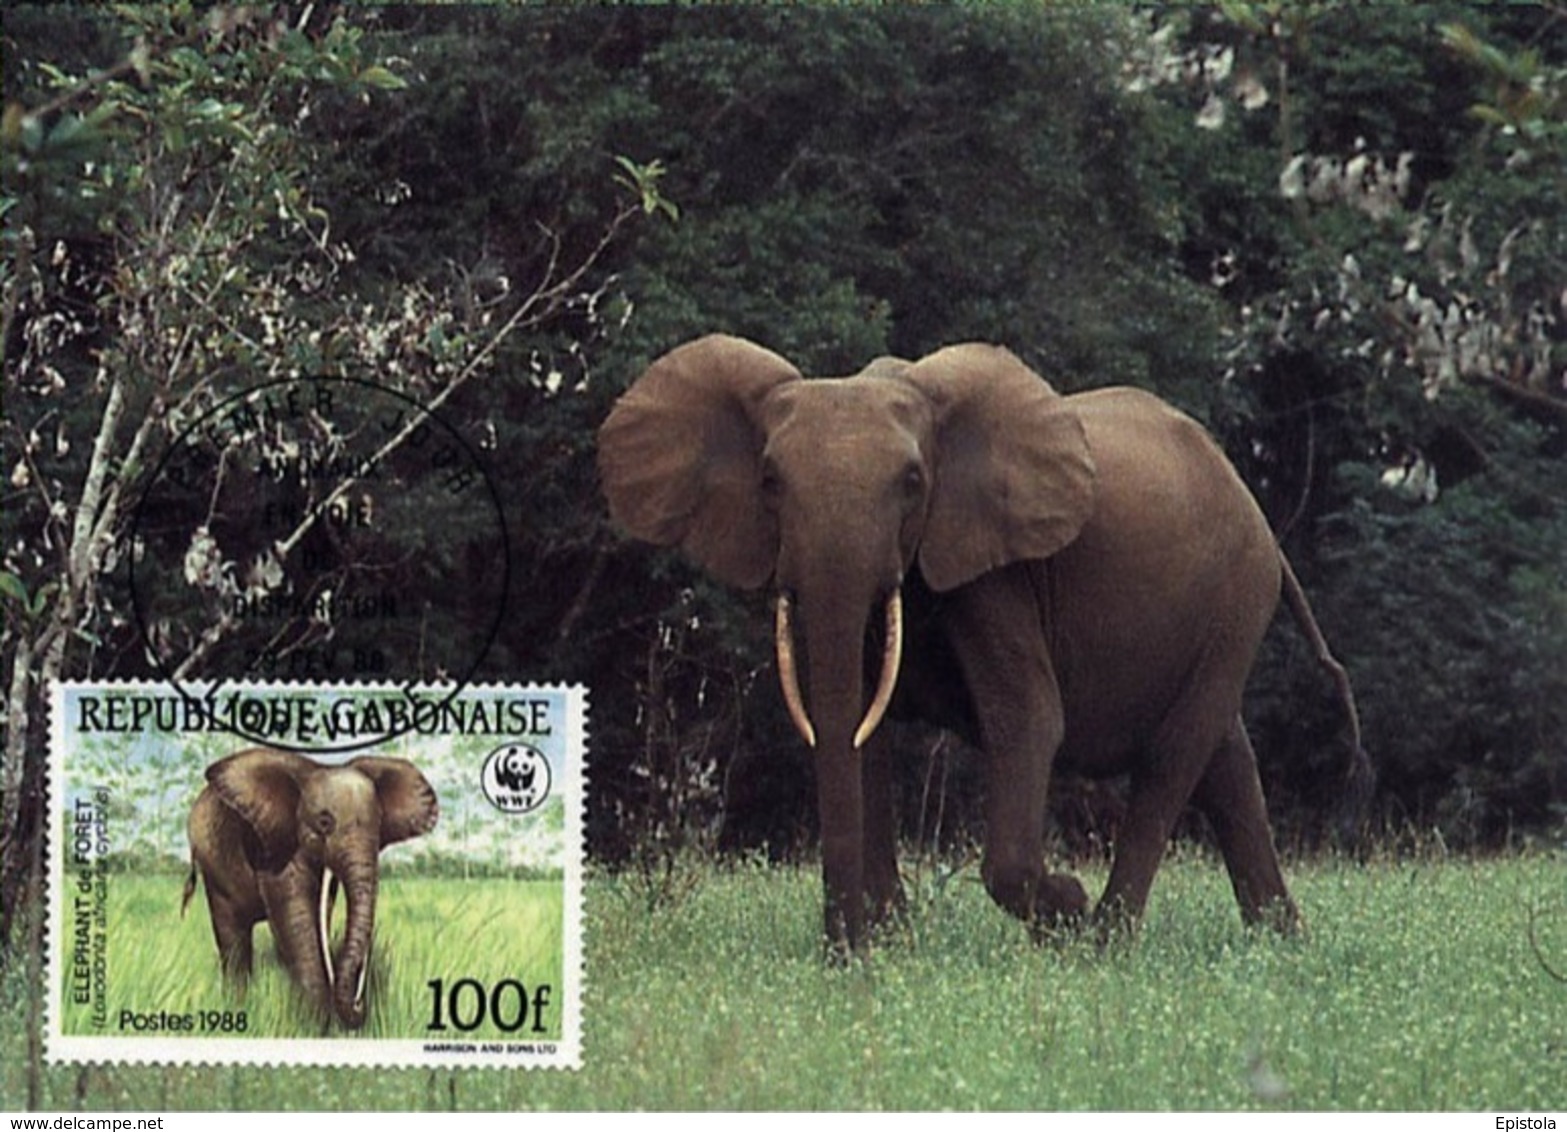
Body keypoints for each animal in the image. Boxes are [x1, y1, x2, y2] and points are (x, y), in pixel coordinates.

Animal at [181, 749, 438, 1027]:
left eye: (380, 824)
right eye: (324, 822)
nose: (359, 1004)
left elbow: (319, 912)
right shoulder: (277, 848)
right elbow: (295, 917)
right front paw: (315, 1022)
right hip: (214, 868)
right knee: (232, 936)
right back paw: (238, 1006)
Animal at [598, 334, 1370, 953]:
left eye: (914, 482)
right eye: (768, 481)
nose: (839, 954)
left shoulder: (993, 574)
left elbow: (1026, 718)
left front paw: (1062, 907)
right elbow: (854, 722)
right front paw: (888, 947)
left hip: (1238, 597)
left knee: (1174, 756)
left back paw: (1104, 945)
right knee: (1225, 761)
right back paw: (1282, 945)